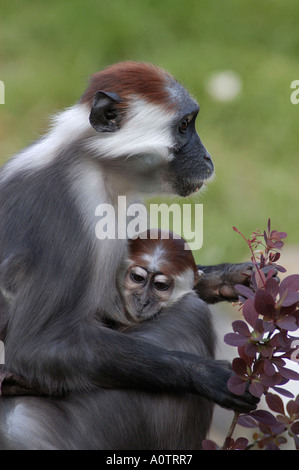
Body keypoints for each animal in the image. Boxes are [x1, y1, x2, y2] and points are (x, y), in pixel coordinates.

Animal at [0, 62, 258, 448]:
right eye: (185, 126)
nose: (207, 158)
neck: (93, 166)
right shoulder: (65, 209)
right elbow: (38, 347)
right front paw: (203, 374)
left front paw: (228, 279)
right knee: (191, 316)